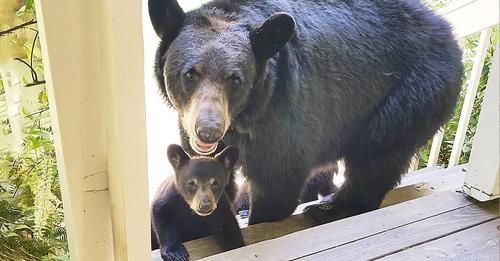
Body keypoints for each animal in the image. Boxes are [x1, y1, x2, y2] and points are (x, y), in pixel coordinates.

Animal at [147, 0, 460, 223]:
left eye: (235, 80)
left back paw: (331, 208)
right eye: (191, 73)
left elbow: (278, 179)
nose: (209, 131)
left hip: (414, 92)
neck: (244, 116)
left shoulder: (282, 112)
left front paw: (259, 215)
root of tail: (448, 33)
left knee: (376, 154)